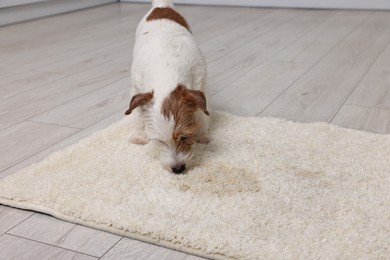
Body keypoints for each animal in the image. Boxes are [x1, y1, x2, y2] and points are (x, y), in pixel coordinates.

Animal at [125, 0, 210, 175]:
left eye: (185, 137)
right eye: (160, 141)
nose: (178, 169)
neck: (167, 70)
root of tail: (161, 6)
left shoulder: (200, 83)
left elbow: (202, 113)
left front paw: (203, 134)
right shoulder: (137, 88)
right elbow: (139, 115)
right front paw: (140, 135)